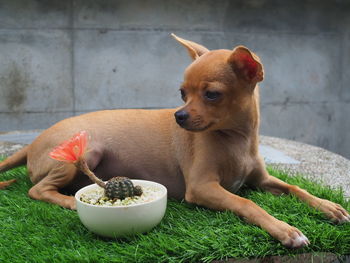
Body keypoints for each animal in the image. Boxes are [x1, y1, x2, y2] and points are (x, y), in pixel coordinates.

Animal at [0, 34, 350, 249]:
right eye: (182, 93)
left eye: (212, 95)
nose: (178, 116)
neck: (236, 140)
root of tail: (31, 143)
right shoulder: (203, 187)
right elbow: (246, 203)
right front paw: (286, 231)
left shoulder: (261, 179)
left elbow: (295, 187)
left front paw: (330, 207)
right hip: (84, 151)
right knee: (37, 190)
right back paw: (70, 201)